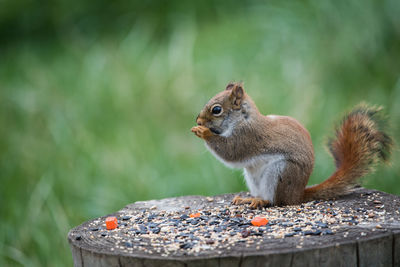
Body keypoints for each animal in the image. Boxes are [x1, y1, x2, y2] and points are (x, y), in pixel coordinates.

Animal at [191, 81, 394, 209]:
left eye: (217, 110)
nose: (198, 120)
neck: (243, 119)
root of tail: (298, 194)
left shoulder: (247, 136)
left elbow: (231, 151)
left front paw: (203, 132)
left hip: (281, 172)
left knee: (278, 201)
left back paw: (263, 202)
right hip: (253, 177)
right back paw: (247, 199)